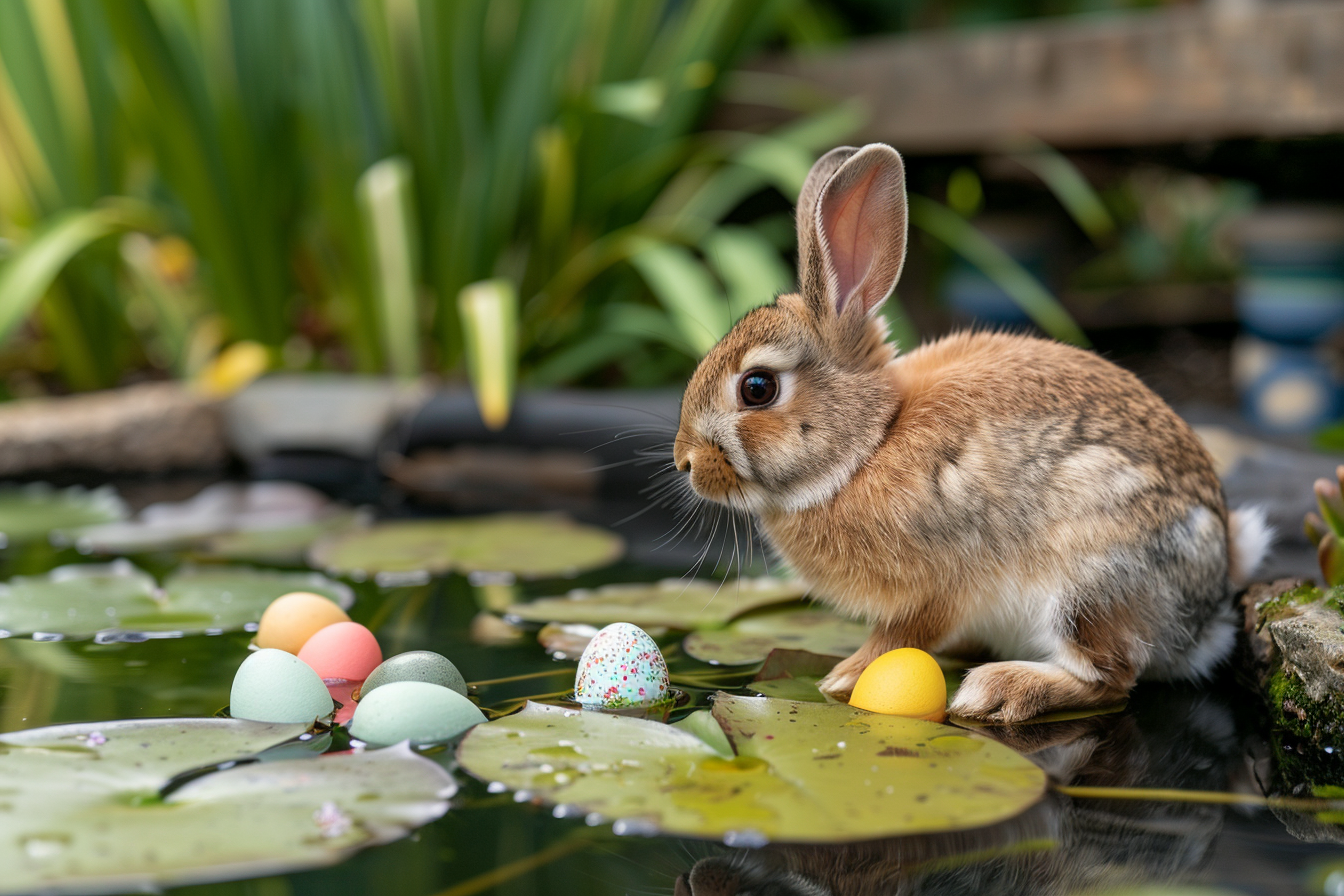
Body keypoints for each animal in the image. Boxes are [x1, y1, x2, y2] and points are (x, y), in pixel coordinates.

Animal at [671, 143, 1272, 723]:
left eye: (757, 388)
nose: (686, 463)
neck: (869, 445)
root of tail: (1216, 588)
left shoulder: (938, 587)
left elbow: (898, 638)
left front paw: (842, 678)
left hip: (1090, 577)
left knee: (1111, 677)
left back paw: (999, 691)